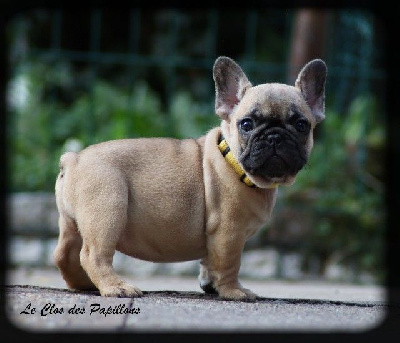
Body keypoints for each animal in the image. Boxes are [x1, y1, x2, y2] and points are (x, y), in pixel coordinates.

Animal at [53, 55, 326, 300]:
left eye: (301, 125)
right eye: (247, 124)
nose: (274, 137)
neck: (234, 164)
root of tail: (73, 159)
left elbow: (209, 262)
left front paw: (210, 284)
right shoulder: (229, 233)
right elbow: (229, 264)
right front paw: (233, 291)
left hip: (73, 222)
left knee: (65, 253)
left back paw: (84, 284)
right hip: (107, 210)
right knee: (93, 255)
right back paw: (115, 287)